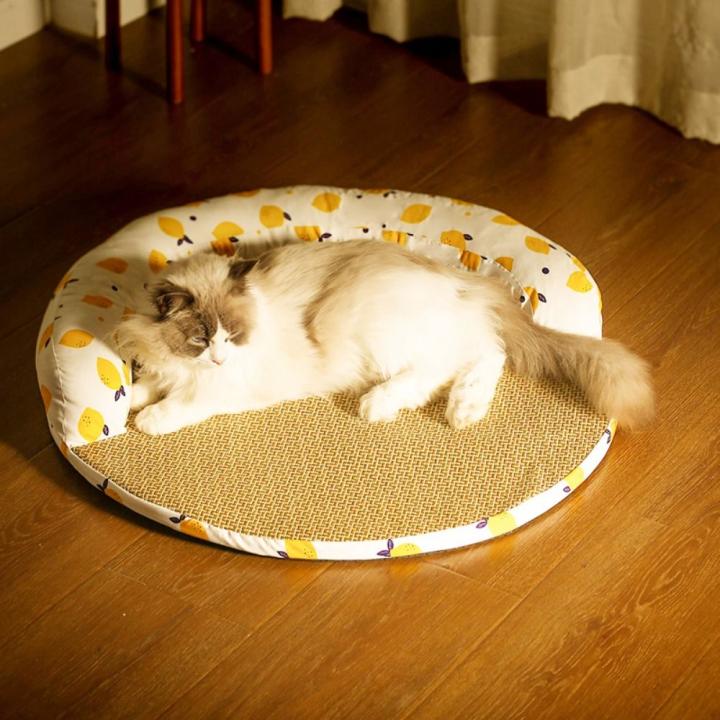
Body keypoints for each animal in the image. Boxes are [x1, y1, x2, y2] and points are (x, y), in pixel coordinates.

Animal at [114, 239, 654, 435]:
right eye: (202, 339)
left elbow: (182, 403)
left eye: (232, 336)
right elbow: (147, 385)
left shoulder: (224, 386)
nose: (220, 358)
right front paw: (129, 403)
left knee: (456, 362)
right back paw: (465, 411)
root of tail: (468, 282)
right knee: (485, 354)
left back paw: (387, 407)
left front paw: (147, 420)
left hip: (374, 333)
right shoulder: (165, 363)